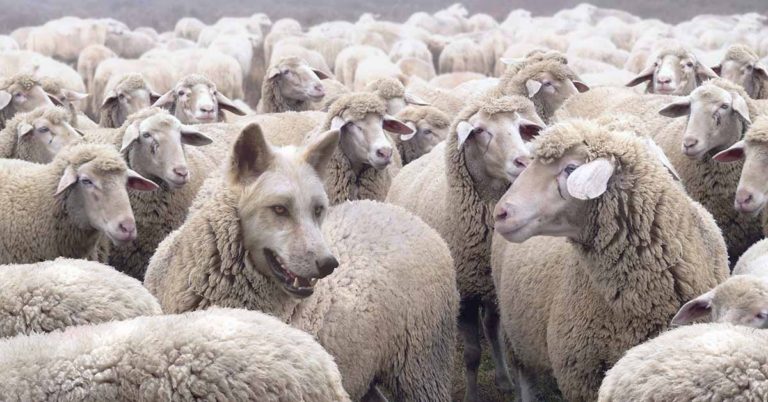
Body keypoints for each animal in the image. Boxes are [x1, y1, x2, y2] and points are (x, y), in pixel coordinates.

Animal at [387, 95, 546, 402]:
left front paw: (506, 378)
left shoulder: (493, 289)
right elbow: (472, 354)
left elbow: (495, 332)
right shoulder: (465, 296)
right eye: (480, 130)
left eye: (519, 127)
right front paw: (472, 395)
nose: (524, 161)